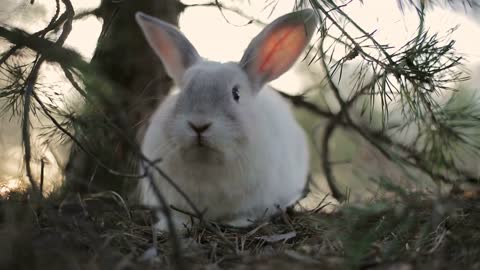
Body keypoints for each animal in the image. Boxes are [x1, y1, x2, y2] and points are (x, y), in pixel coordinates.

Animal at [133, 9, 316, 231]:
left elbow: (247, 213)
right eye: (183, 90)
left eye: (236, 94)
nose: (199, 125)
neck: (207, 161)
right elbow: (181, 217)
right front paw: (169, 228)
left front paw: (237, 223)